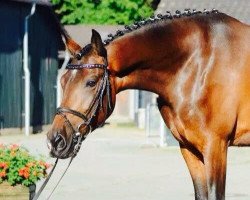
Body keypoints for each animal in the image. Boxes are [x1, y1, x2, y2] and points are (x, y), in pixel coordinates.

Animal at [46, 9, 250, 200]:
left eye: (91, 82)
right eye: (62, 81)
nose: (55, 140)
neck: (198, 63)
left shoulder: (215, 146)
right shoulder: (189, 149)